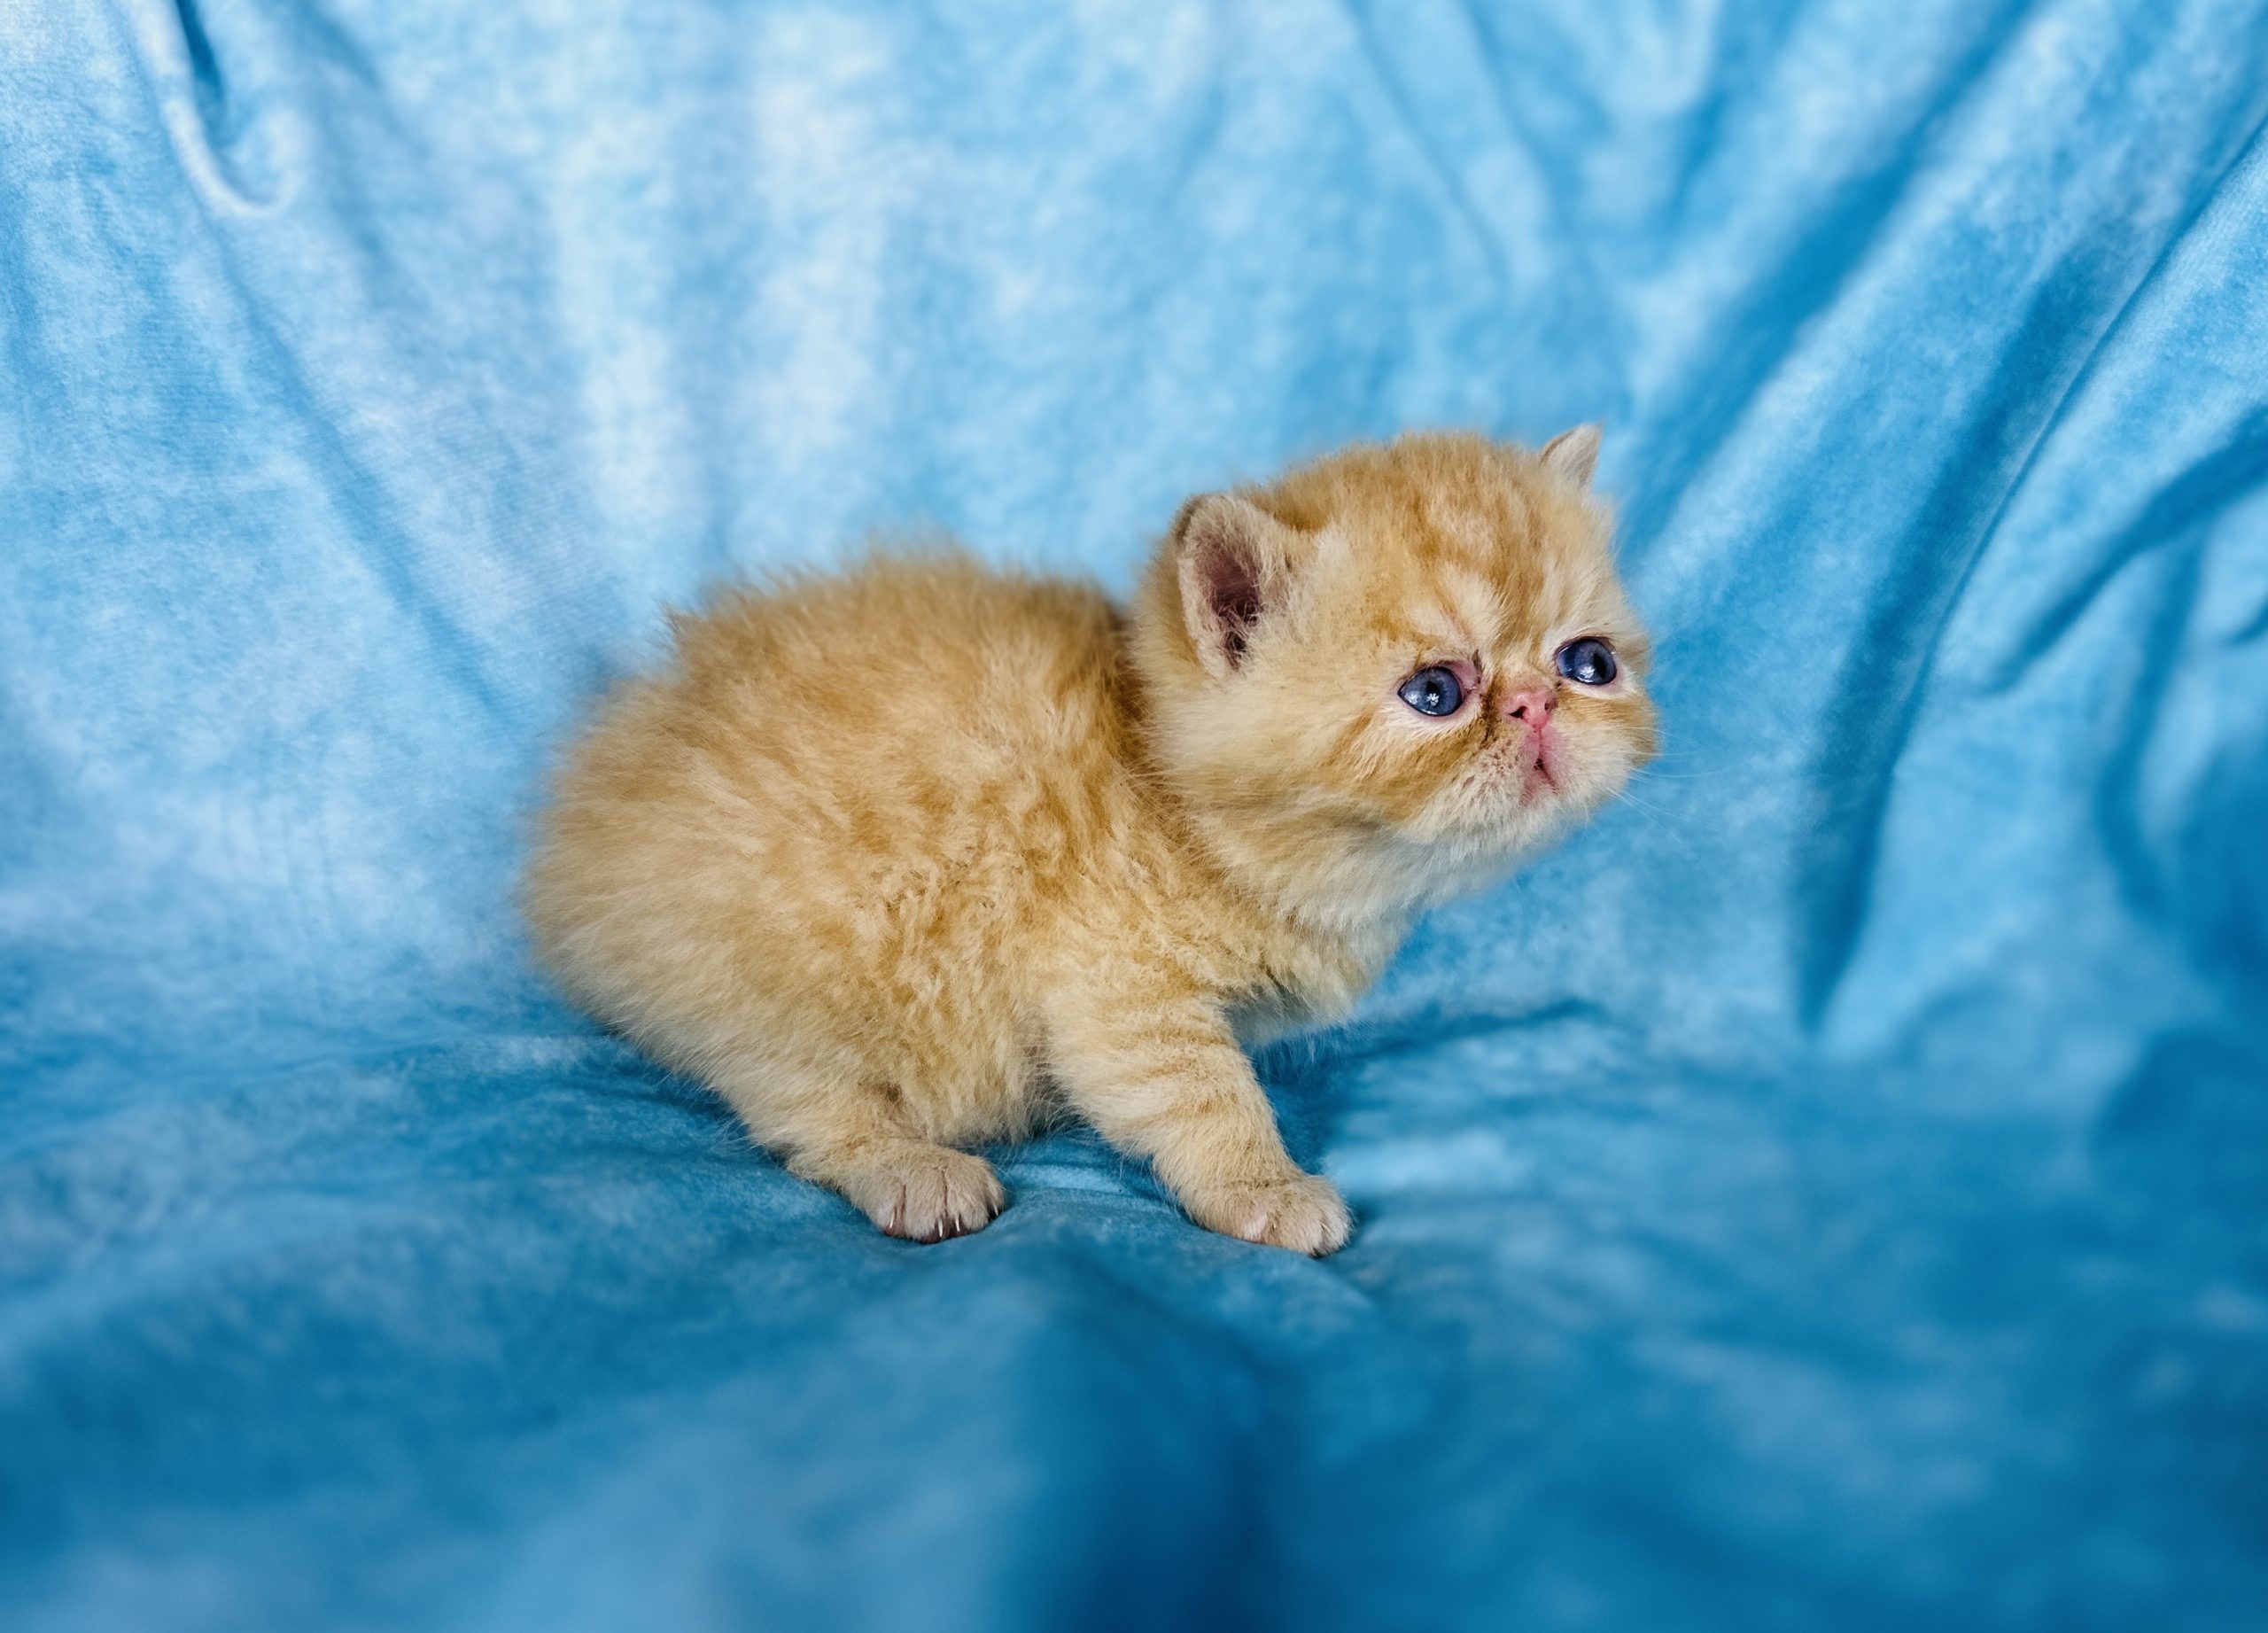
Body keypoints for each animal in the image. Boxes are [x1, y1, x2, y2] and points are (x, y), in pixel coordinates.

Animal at [521, 426, 1659, 1261]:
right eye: (1433, 692)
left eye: (1588, 663)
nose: (1536, 705)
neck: (1174, 802)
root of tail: (576, 836)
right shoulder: (1115, 984)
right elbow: (1202, 1093)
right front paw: (1263, 1184)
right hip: (784, 964)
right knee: (804, 1107)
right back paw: (912, 1168)